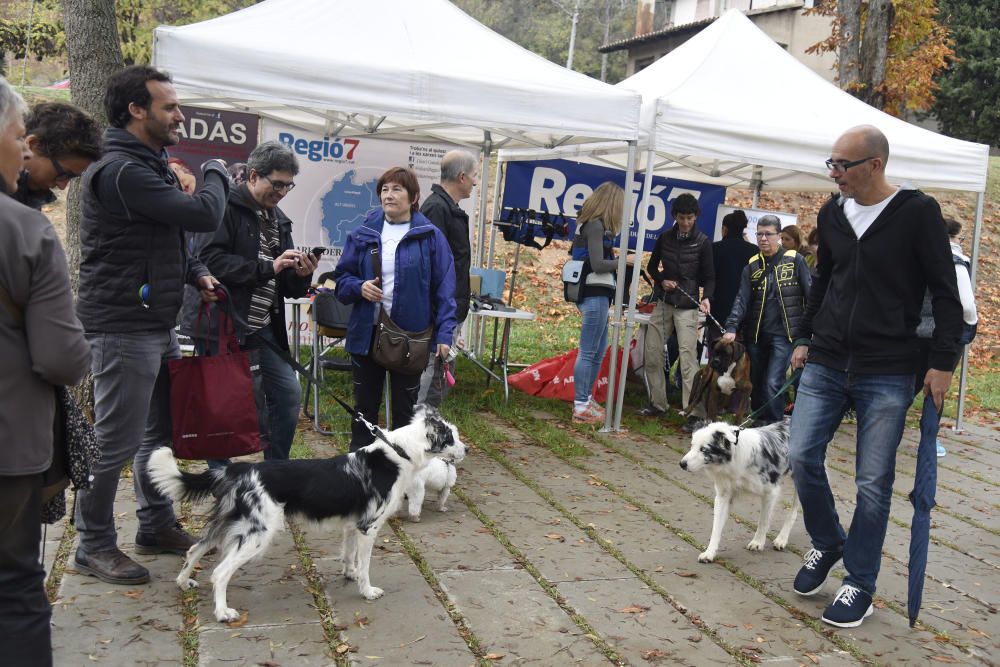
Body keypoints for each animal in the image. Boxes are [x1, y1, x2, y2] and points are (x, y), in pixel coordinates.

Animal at [680, 422, 796, 564]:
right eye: (692, 445)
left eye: (703, 449)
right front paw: (709, 553)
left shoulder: (770, 492)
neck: (734, 459)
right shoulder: (723, 496)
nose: (682, 464)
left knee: (793, 512)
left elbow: (763, 521)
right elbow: (716, 528)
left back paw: (782, 539)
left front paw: (758, 542)